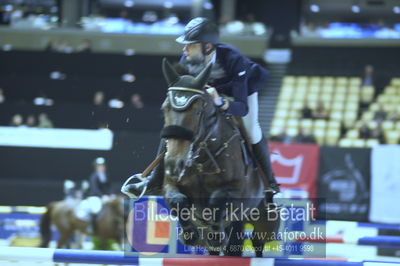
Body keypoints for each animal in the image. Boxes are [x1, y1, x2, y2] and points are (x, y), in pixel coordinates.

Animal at [158, 59, 280, 256]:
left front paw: (216, 236)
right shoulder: (170, 185)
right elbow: (178, 200)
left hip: (265, 221)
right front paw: (189, 235)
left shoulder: (236, 190)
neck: (200, 161)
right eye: (164, 109)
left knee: (258, 240)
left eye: (198, 111)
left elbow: (217, 201)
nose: (175, 165)